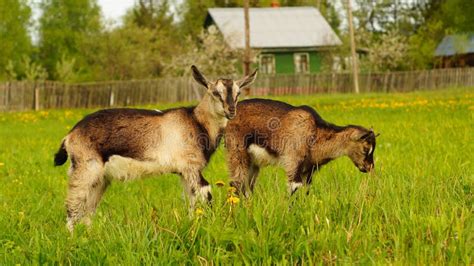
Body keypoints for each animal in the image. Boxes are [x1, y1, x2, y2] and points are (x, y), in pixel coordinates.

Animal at [53, 65, 258, 232]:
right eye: (215, 92)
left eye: (238, 93)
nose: (231, 111)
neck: (197, 122)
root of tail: (70, 136)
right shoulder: (191, 167)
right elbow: (206, 193)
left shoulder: (185, 172)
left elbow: (191, 201)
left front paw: (192, 225)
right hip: (85, 169)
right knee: (73, 208)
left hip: (100, 178)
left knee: (88, 210)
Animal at [225, 98, 378, 196]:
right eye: (366, 149)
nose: (368, 168)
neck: (316, 131)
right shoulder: (293, 161)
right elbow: (294, 188)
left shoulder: (309, 169)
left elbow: (306, 190)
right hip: (237, 151)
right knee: (236, 183)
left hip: (253, 162)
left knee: (248, 186)